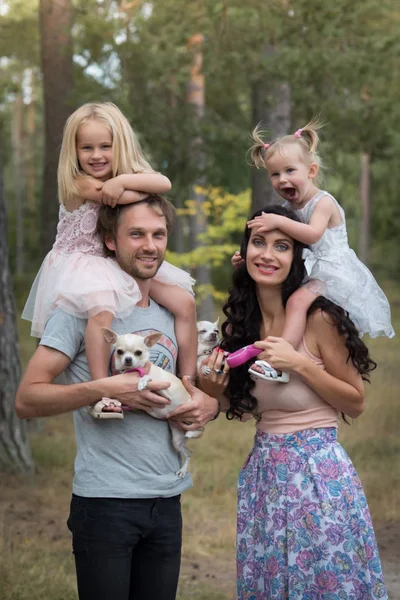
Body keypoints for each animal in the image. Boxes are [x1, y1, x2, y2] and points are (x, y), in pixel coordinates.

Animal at [97, 328, 203, 478]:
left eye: (138, 352)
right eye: (119, 351)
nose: (128, 359)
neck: (132, 371)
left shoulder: (166, 393)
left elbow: (148, 377)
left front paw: (142, 381)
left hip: (193, 420)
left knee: (197, 431)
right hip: (177, 441)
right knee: (189, 453)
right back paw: (183, 469)